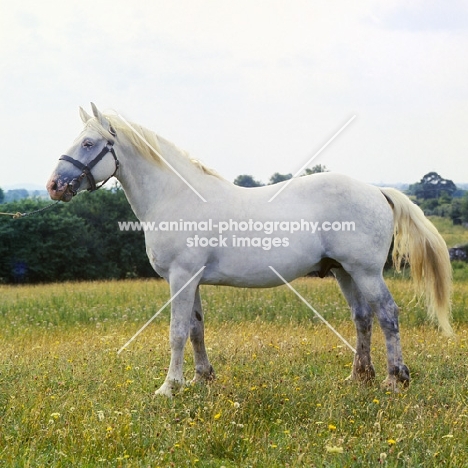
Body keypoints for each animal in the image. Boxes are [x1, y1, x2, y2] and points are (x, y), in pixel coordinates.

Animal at [46, 102, 450, 394]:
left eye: (88, 143)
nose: (54, 185)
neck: (174, 197)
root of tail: (377, 191)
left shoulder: (181, 277)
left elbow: (177, 331)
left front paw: (169, 387)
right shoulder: (192, 280)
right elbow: (196, 328)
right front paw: (202, 379)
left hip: (365, 271)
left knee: (387, 314)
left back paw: (395, 379)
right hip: (343, 271)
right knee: (362, 317)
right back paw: (359, 377)